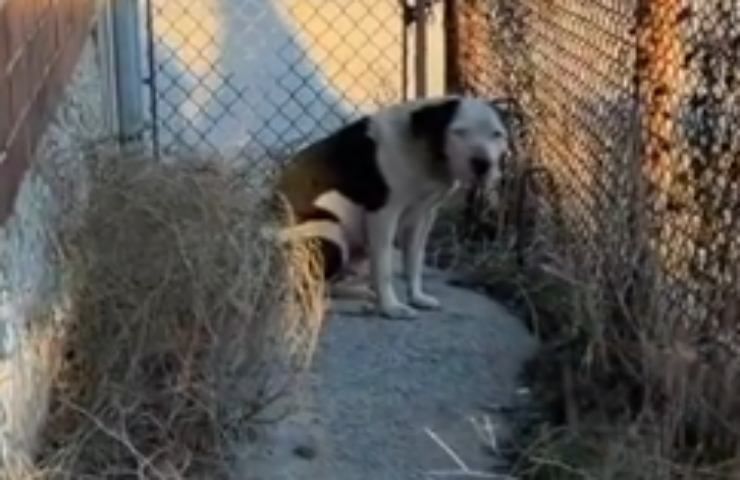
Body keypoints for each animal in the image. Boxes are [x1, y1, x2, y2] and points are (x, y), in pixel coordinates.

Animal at [274, 94, 512, 318]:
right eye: (460, 132)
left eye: (497, 134)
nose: (483, 164)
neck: (423, 150)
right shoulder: (383, 214)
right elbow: (384, 268)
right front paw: (391, 308)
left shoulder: (423, 217)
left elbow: (414, 262)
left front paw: (416, 298)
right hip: (331, 232)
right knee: (303, 291)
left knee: (325, 286)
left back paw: (360, 296)